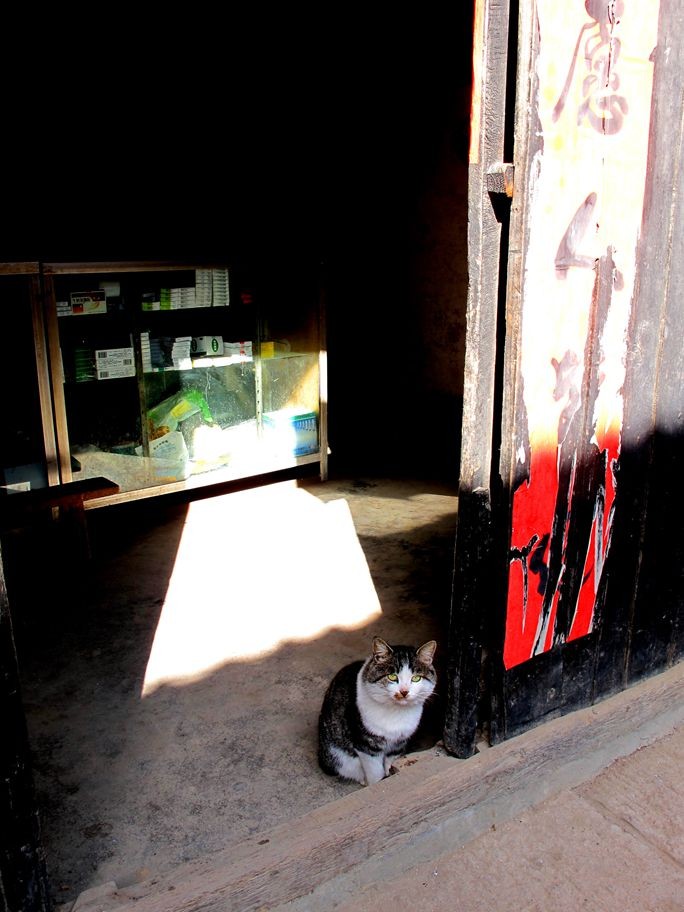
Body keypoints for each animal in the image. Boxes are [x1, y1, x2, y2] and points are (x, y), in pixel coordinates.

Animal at [317, 636, 437, 786]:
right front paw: (378, 783)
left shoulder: (398, 744)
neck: (396, 712)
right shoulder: (367, 746)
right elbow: (375, 773)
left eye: (416, 678)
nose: (404, 692)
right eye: (392, 676)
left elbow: (389, 762)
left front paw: (390, 775)